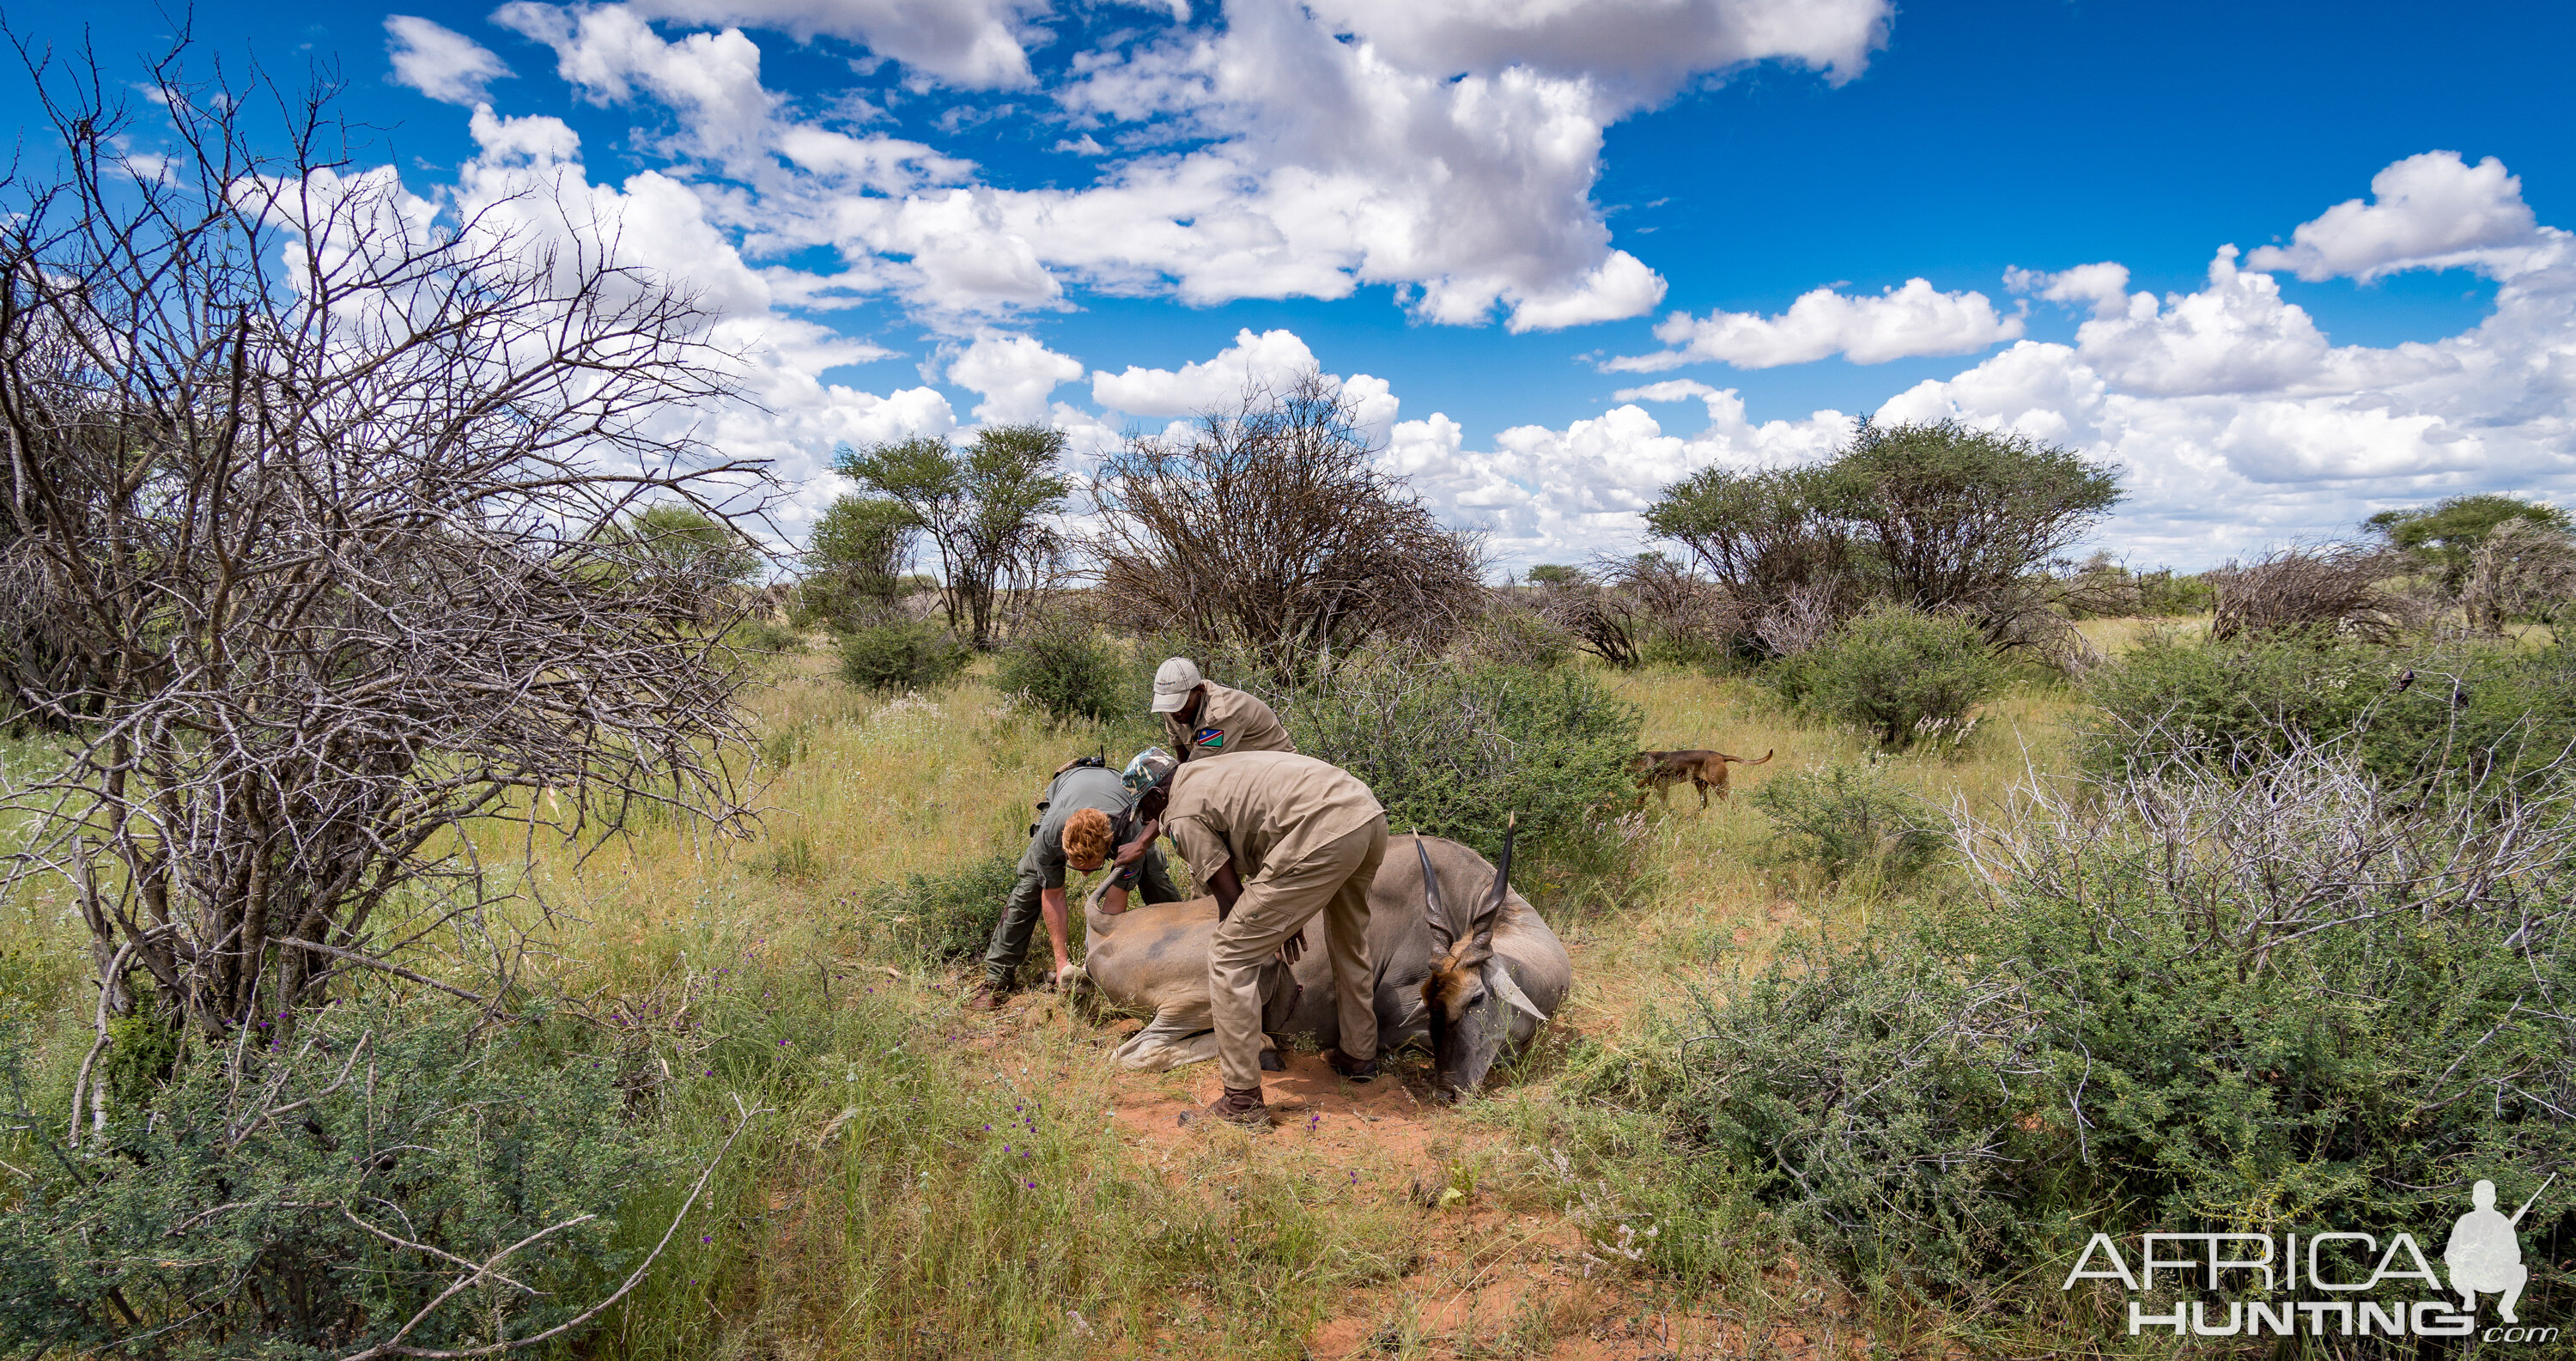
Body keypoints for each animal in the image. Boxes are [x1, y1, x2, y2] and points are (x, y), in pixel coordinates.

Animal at [1628, 742, 1772, 809]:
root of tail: (1721, 756)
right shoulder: (1650, 789)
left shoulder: (1656, 788)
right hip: (1701, 785)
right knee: (1704, 804)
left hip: (1720, 787)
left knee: (1733, 804)